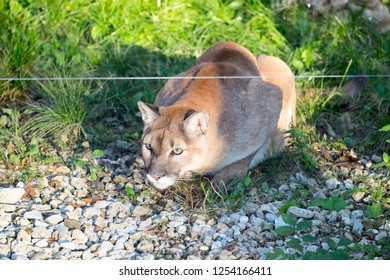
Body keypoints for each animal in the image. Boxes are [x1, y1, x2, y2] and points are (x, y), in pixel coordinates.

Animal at [137, 41, 296, 190]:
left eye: (177, 151)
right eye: (148, 147)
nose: (155, 176)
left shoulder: (271, 98)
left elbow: (248, 153)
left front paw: (227, 177)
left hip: (276, 62)